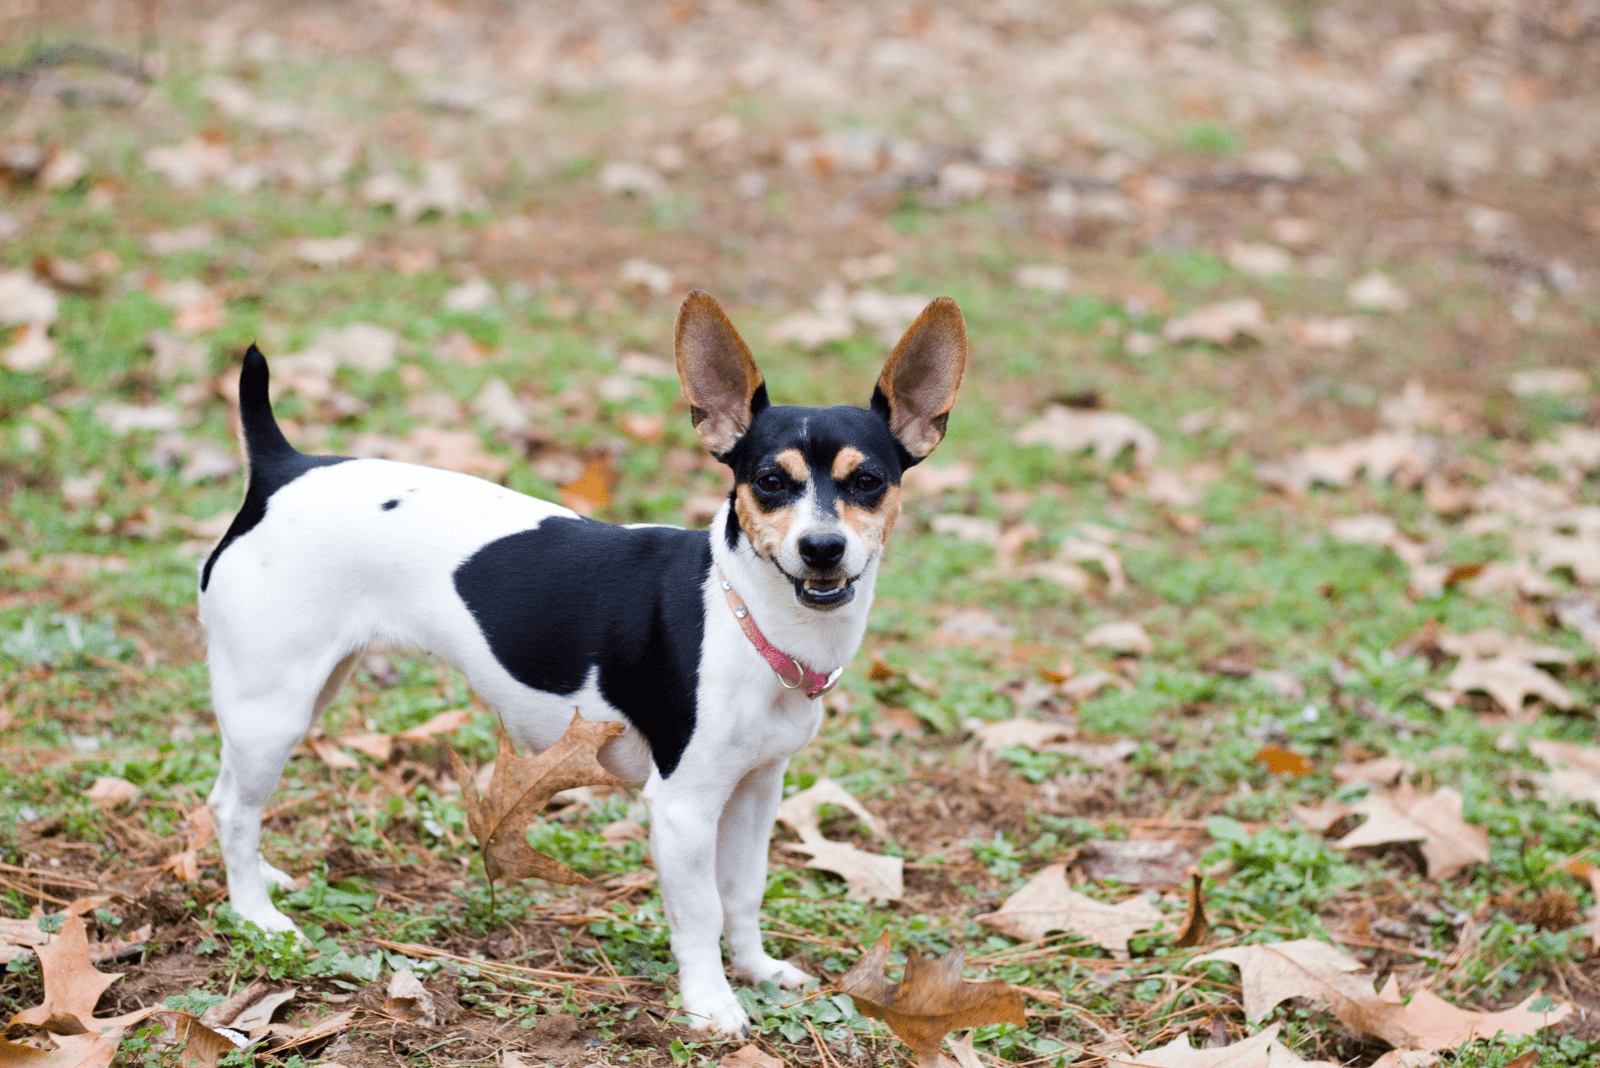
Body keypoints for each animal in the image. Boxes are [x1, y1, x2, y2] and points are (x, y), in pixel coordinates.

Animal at [206, 289, 966, 1036]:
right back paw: (259, 916)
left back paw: (266, 880)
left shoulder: (757, 790)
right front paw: (711, 1002)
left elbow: (743, 893)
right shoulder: (683, 809)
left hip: (295, 696)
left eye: (868, 481)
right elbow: (701, 912)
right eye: (769, 482)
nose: (821, 548)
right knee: (235, 812)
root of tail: (284, 469)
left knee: (226, 797)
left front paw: (757, 970)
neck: (746, 613)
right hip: (272, 710)